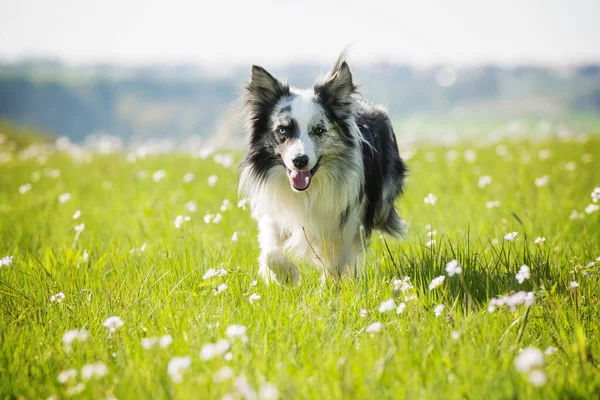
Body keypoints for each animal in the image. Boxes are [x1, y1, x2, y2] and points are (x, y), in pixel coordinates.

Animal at [240, 54, 408, 284]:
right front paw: (286, 276)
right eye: (283, 130)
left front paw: (327, 288)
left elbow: (336, 260)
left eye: (319, 130)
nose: (300, 161)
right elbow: (270, 252)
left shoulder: (346, 220)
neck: (308, 191)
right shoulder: (275, 213)